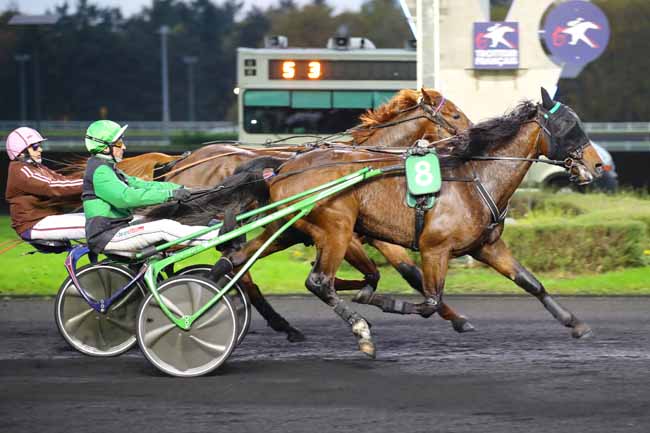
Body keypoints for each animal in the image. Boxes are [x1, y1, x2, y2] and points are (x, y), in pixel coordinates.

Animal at [199, 88, 604, 358]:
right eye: (568, 126)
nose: (598, 164)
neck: (476, 177)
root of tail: (282, 167)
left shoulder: (486, 246)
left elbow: (530, 282)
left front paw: (575, 323)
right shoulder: (432, 248)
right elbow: (426, 298)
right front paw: (382, 304)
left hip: (290, 228)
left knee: (234, 262)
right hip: (336, 229)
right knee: (318, 281)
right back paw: (359, 331)